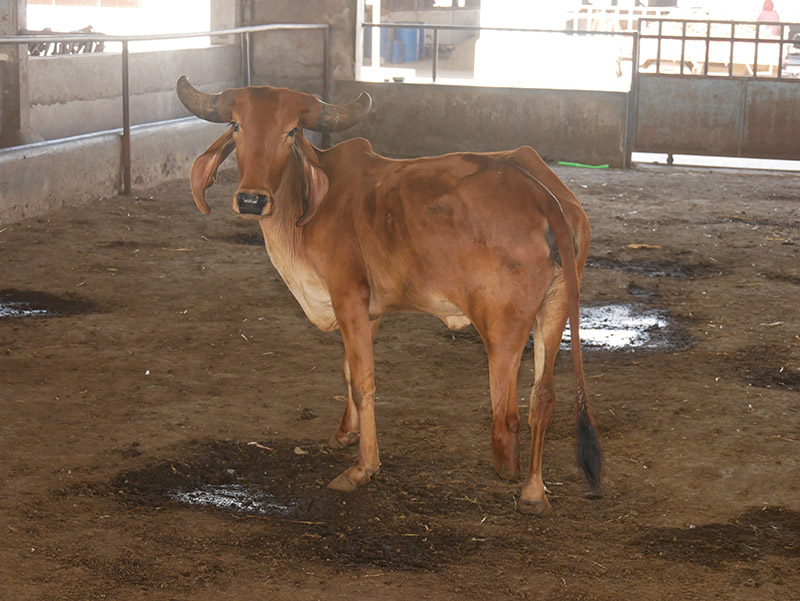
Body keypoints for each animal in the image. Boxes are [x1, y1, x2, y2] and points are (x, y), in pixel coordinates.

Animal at [175, 76, 600, 516]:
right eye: (237, 125)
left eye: (291, 131)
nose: (251, 200)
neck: (308, 205)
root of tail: (543, 194)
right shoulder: (369, 311)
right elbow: (348, 371)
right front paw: (345, 433)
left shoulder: (348, 297)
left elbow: (364, 382)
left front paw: (362, 467)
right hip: (555, 308)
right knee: (543, 397)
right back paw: (534, 492)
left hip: (503, 325)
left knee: (509, 415)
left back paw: (513, 473)